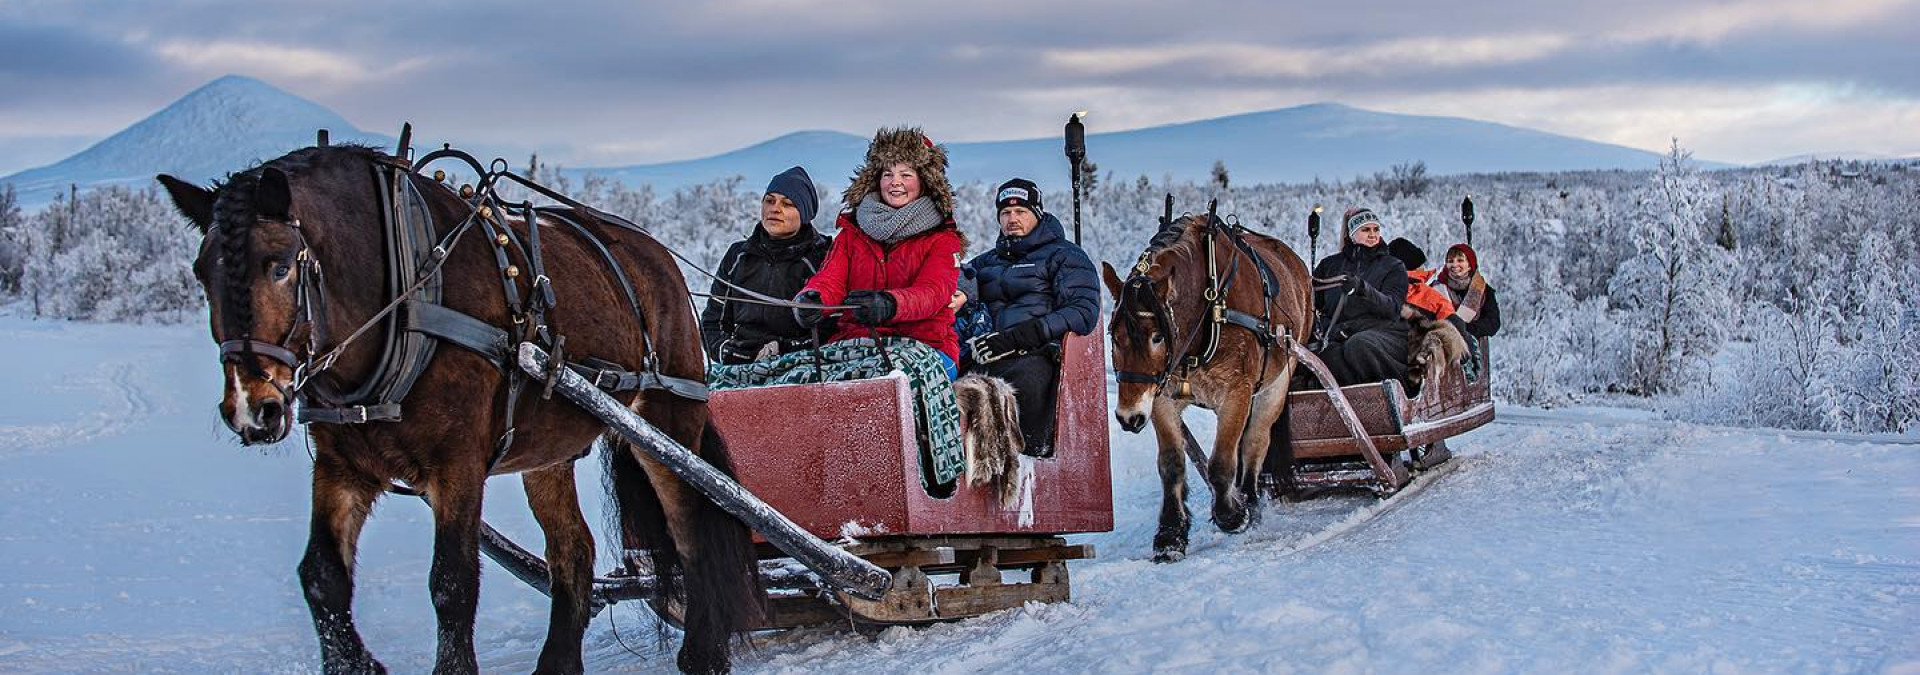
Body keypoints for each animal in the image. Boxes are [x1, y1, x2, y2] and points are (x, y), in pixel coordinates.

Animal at [157, 144, 760, 671]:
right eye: (200, 271)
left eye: (280, 265)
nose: (250, 408)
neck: (399, 302)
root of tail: (658, 260)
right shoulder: (342, 466)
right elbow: (322, 577)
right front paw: (357, 664)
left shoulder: (458, 464)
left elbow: (452, 583)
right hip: (548, 455)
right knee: (574, 553)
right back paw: (557, 665)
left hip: (664, 426)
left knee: (692, 535)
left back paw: (703, 656)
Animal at [1105, 213, 1313, 559]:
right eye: (1113, 335)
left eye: (1157, 336)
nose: (1128, 417)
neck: (1207, 311)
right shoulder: (1160, 398)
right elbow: (1172, 464)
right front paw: (1170, 534)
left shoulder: (1237, 392)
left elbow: (1222, 463)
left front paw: (1233, 514)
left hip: (1276, 383)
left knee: (1255, 442)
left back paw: (1250, 501)